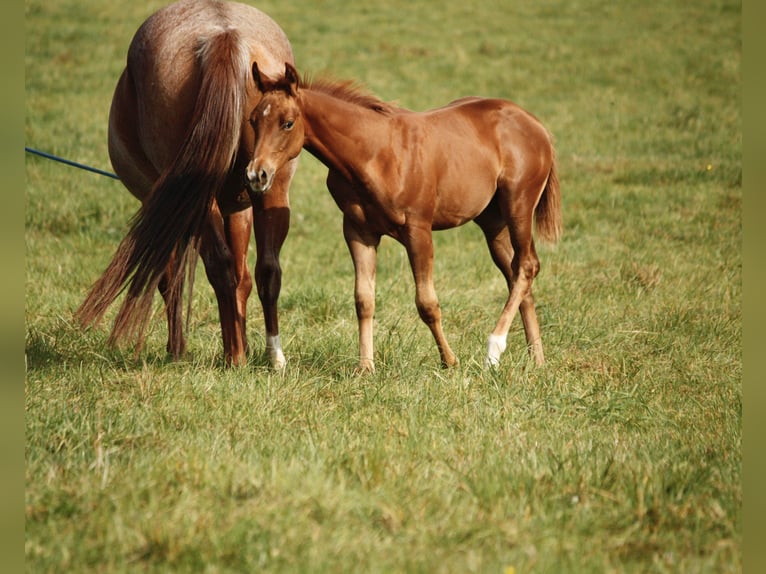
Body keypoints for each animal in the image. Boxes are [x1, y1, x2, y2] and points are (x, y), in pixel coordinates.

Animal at [74, 0, 296, 368]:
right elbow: (244, 278)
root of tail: (224, 35)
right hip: (272, 188)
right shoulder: (241, 207)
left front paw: (178, 349)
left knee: (217, 268)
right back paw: (266, 356)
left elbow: (171, 279)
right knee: (265, 268)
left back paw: (234, 357)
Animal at [249, 63, 560, 374]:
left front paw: (449, 361)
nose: (256, 174)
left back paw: (494, 350)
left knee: (526, 266)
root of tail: (535, 124)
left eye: (288, 123)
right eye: (253, 121)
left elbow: (426, 303)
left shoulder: (418, 230)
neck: (374, 155)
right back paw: (537, 359)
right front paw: (366, 368)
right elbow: (364, 300)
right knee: (516, 272)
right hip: (492, 221)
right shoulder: (358, 231)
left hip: (518, 205)